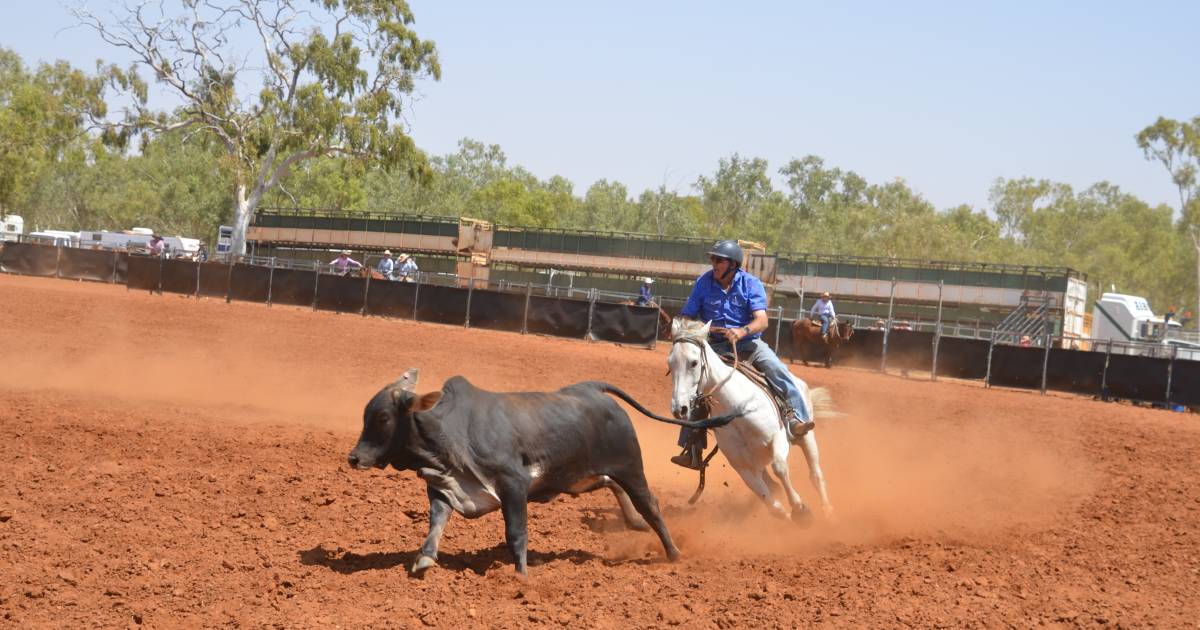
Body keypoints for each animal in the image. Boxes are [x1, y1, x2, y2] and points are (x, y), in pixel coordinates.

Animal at [667, 319, 835, 520]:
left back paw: (828, 512)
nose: (679, 408)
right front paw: (793, 514)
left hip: (806, 436)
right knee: (775, 486)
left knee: (815, 474)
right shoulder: (743, 467)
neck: (737, 410)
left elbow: (780, 467)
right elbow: (772, 505)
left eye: (693, 362)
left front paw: (800, 509)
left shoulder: (778, 438)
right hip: (759, 464)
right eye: (670, 363)